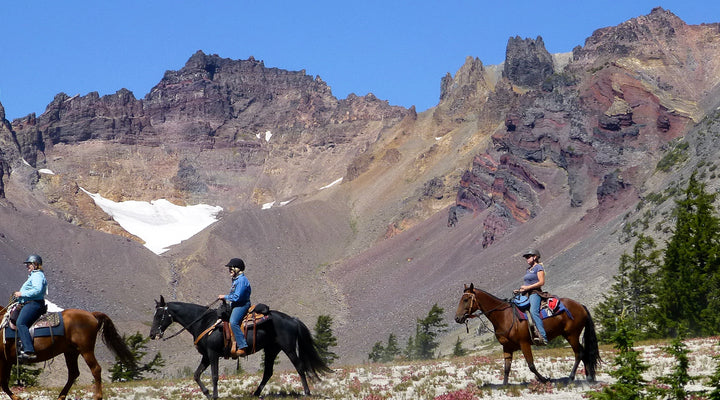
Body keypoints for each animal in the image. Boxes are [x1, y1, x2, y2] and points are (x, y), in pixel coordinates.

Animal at [0, 305, 135, 400]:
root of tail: (92, 315)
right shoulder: (7, 361)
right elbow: (4, 383)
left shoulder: (4, 361)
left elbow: (3, 384)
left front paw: (17, 397)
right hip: (71, 352)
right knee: (74, 373)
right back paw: (60, 397)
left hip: (86, 350)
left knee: (95, 369)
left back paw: (97, 396)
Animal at [149, 296, 332, 399]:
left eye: (159, 315)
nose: (152, 334)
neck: (203, 322)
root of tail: (292, 319)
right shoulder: (206, 356)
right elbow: (196, 375)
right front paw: (207, 393)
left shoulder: (213, 354)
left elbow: (214, 376)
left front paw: (214, 395)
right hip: (271, 350)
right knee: (268, 372)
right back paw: (255, 394)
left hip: (288, 348)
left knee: (300, 367)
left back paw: (307, 392)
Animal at [454, 283, 600, 385]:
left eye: (466, 299)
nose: (457, 318)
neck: (504, 316)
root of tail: (580, 306)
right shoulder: (506, 347)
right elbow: (506, 368)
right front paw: (504, 385)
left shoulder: (524, 344)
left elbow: (531, 365)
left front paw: (545, 379)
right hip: (568, 335)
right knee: (584, 352)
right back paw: (589, 377)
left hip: (572, 335)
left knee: (579, 354)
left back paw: (571, 378)